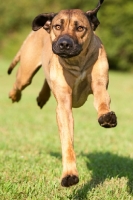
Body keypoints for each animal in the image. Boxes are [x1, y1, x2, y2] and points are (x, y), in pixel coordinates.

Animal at [8, 0, 117, 188]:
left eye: (80, 28)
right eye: (58, 26)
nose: (64, 43)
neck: (76, 62)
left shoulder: (99, 82)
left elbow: (102, 99)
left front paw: (106, 116)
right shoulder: (64, 106)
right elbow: (67, 141)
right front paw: (70, 174)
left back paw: (42, 96)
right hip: (26, 73)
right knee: (19, 83)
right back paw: (15, 95)